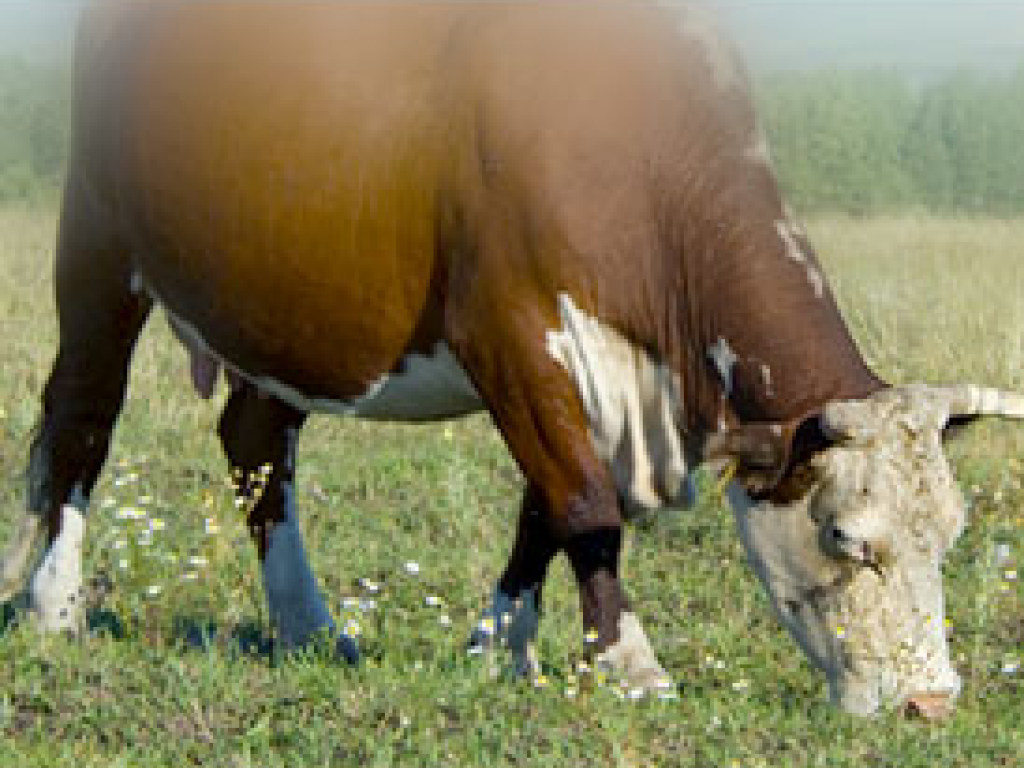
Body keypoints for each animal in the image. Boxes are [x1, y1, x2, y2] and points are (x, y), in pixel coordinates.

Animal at [2, 1, 1024, 720]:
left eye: (952, 535)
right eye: (847, 536)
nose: (930, 703)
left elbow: (543, 512)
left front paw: (501, 646)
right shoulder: (509, 333)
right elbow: (584, 504)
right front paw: (631, 665)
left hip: (276, 301)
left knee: (256, 441)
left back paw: (308, 625)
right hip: (96, 239)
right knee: (84, 418)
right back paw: (53, 606)